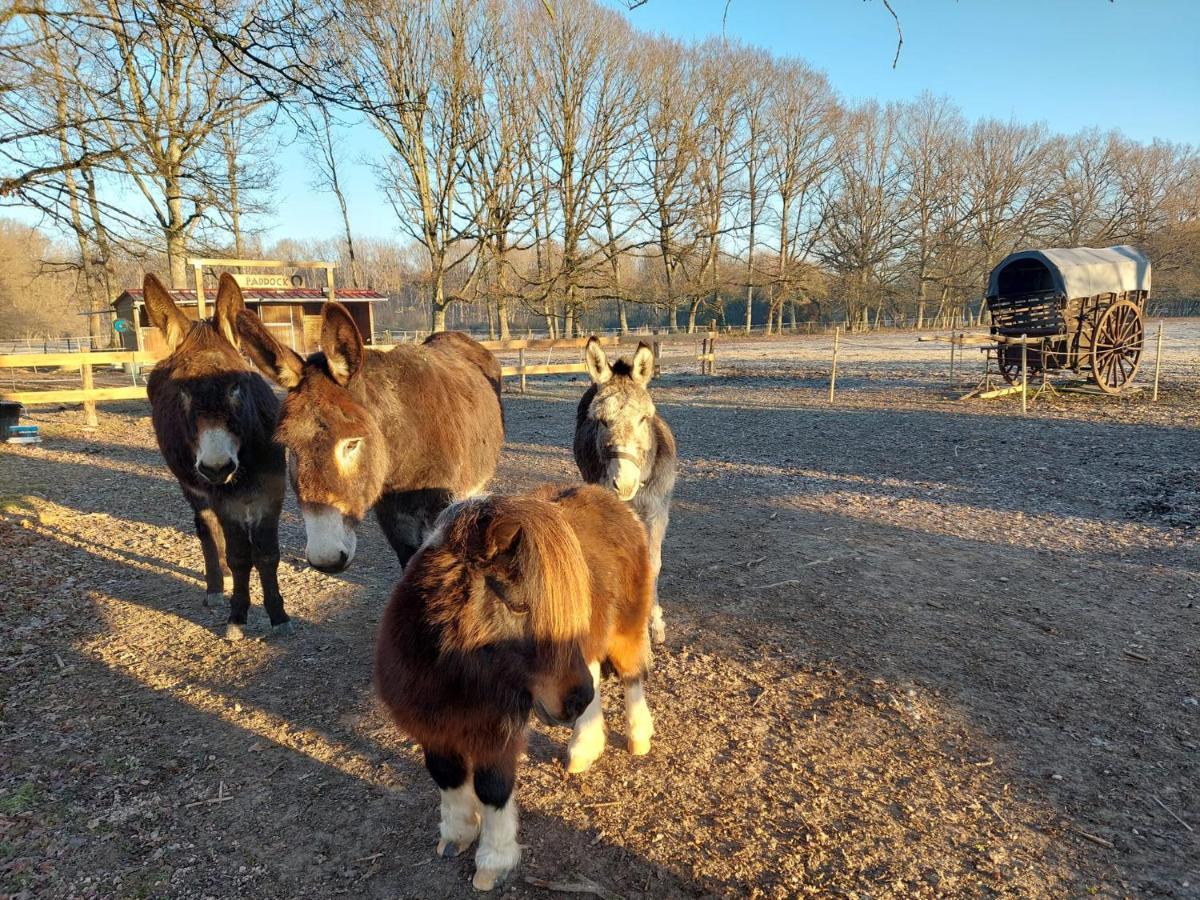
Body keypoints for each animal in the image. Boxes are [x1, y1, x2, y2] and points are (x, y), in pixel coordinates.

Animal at [145, 274, 290, 643]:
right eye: (181, 390)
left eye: (237, 384)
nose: (217, 467)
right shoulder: (223, 498)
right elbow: (240, 557)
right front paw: (238, 616)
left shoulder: (272, 491)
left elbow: (267, 554)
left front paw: (278, 615)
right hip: (193, 487)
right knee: (207, 527)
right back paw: (216, 582)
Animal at [376, 482, 652, 892]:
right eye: (519, 606)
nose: (573, 701)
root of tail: (613, 501)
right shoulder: (432, 725)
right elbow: (446, 775)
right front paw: (456, 834)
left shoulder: (497, 731)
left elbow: (493, 788)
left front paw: (493, 860)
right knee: (595, 678)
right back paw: (583, 748)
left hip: (624, 630)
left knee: (631, 677)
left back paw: (638, 737)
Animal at [571, 340, 676, 643]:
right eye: (602, 421)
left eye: (643, 418)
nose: (624, 483)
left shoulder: (658, 510)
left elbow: (653, 563)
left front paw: (656, 623)